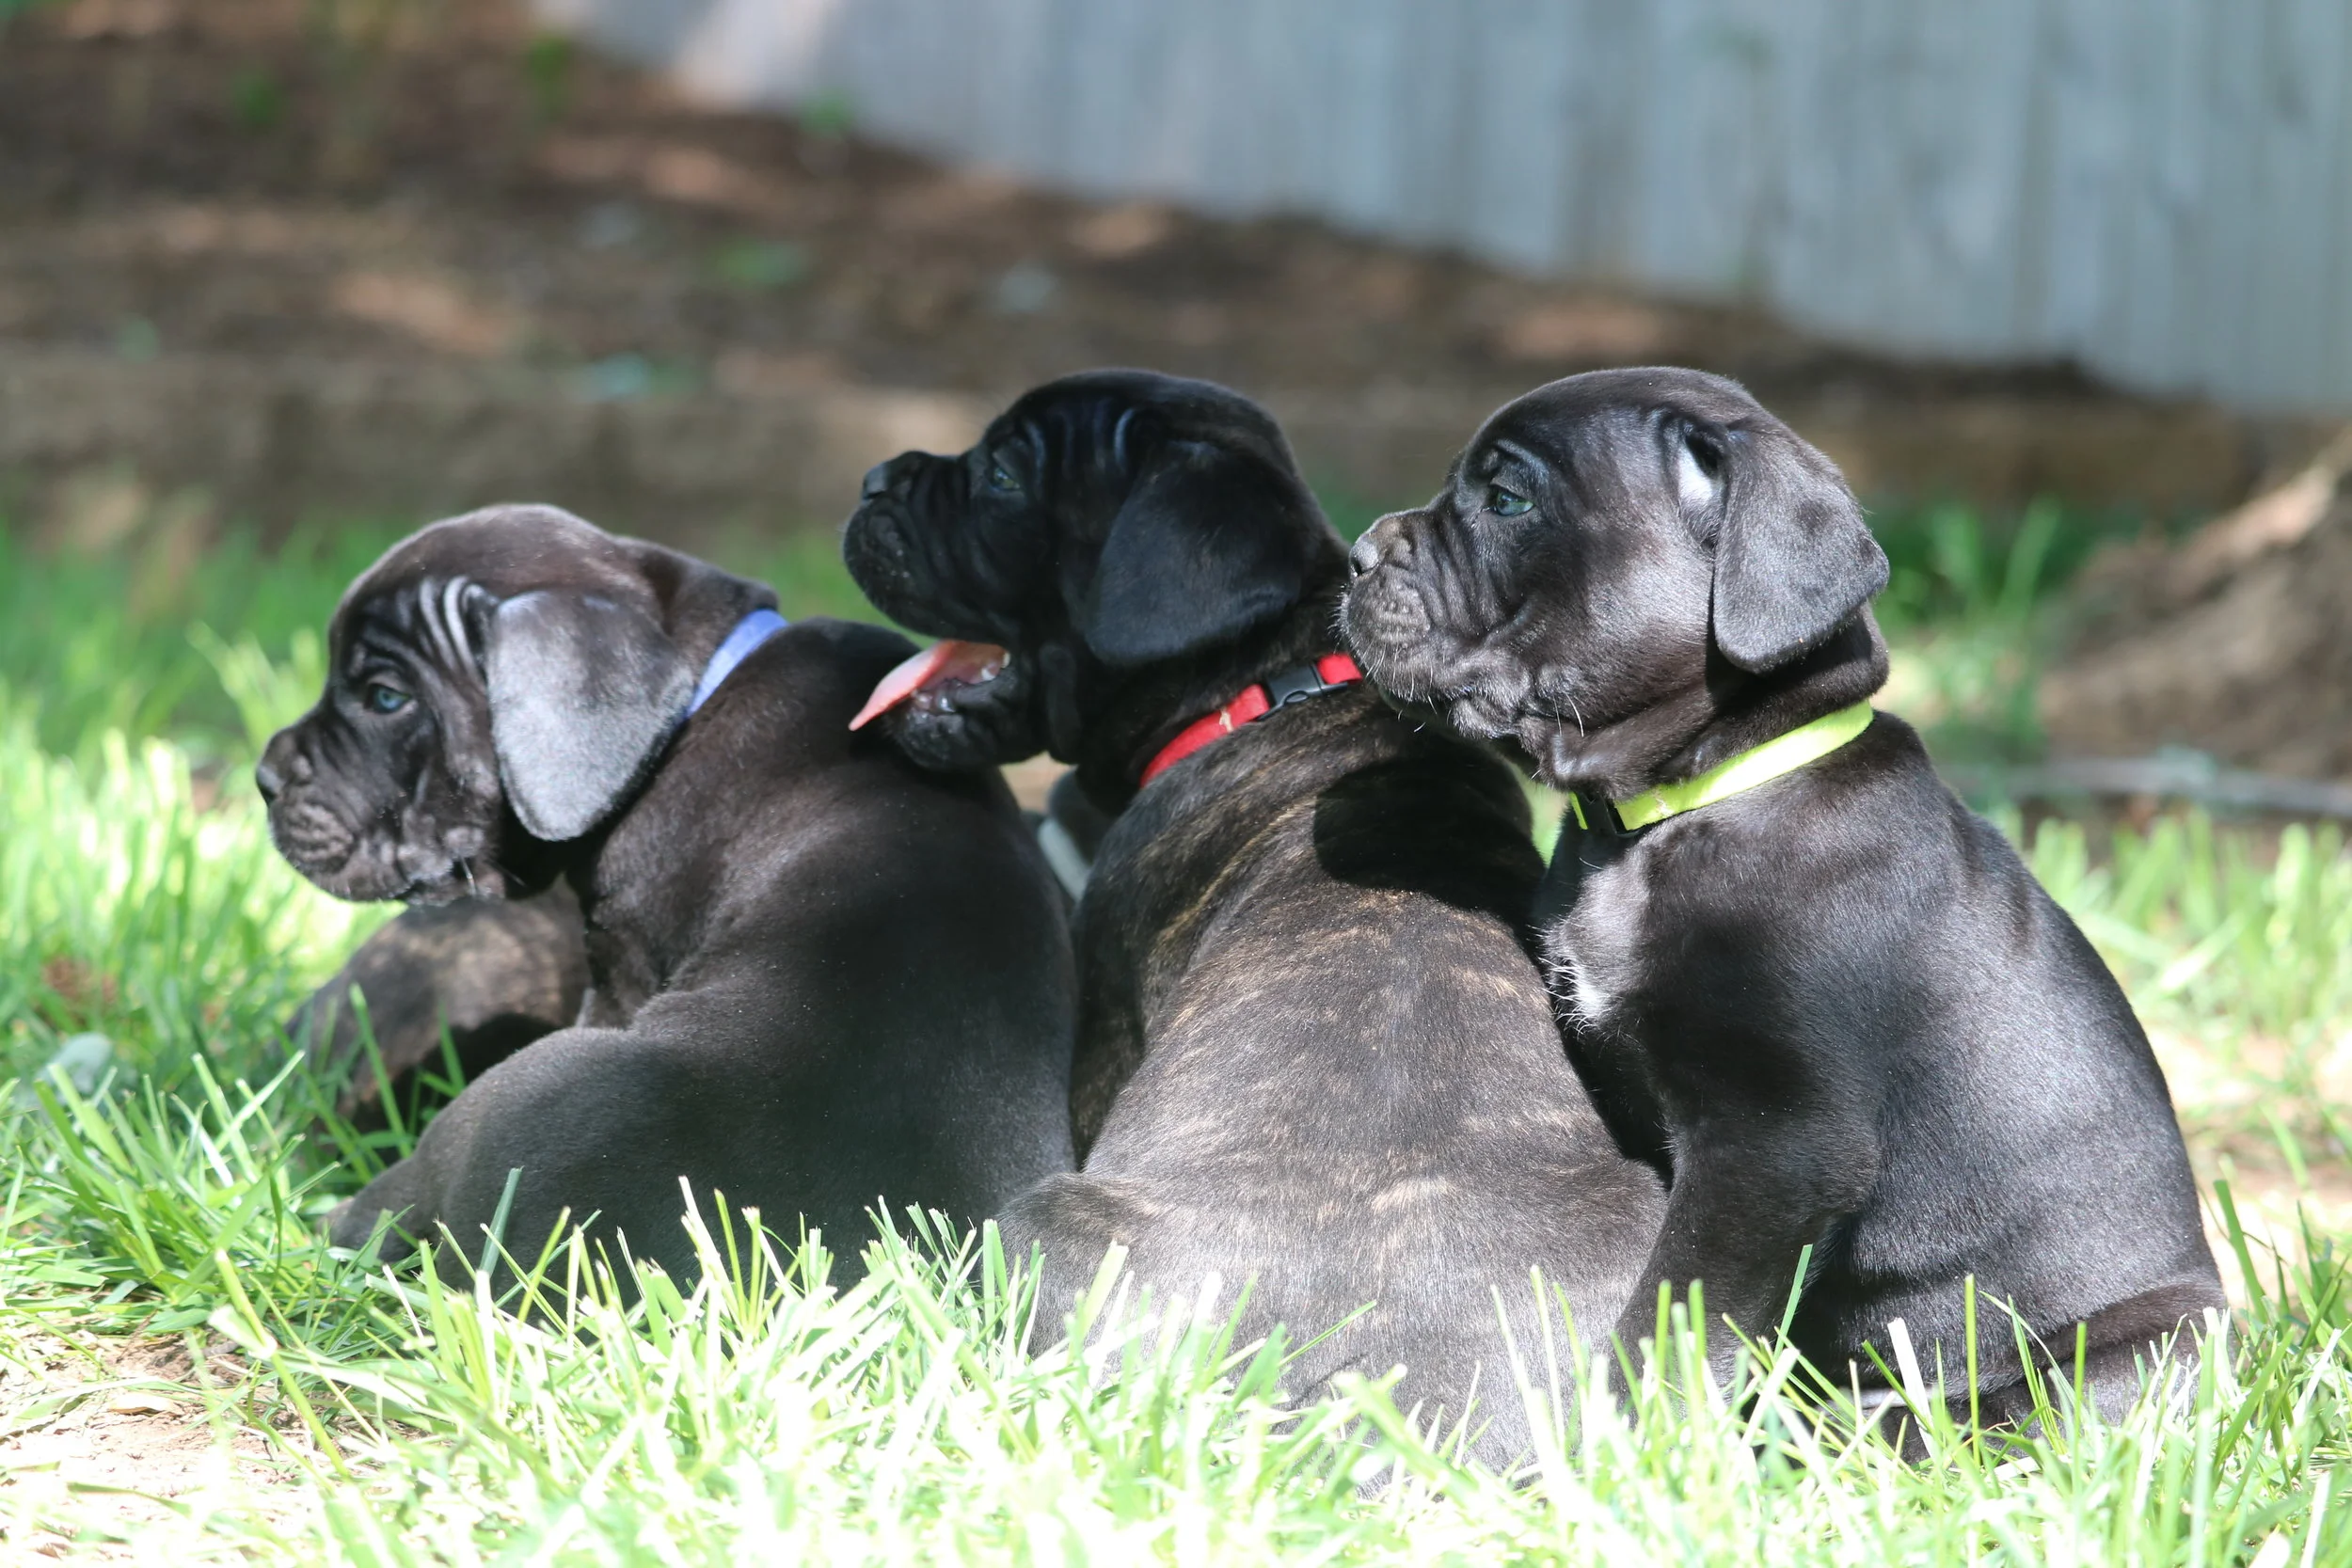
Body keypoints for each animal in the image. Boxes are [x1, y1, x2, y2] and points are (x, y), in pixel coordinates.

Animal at [837, 371, 1665, 1476]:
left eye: (1005, 475)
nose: (875, 478)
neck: (1264, 680)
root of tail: (1355, 1379)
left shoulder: (1105, 1020)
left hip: (1042, 1222)